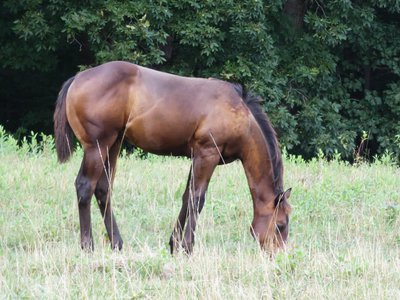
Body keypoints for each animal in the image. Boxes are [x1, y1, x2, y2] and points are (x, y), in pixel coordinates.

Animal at [53, 61, 292, 253]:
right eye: (280, 225)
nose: (278, 255)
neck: (237, 112)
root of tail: (77, 78)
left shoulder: (197, 156)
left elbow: (187, 196)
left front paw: (174, 244)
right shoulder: (207, 154)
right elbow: (197, 198)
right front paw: (187, 247)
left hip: (113, 145)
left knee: (103, 190)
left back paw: (117, 243)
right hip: (97, 147)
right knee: (85, 186)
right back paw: (87, 246)